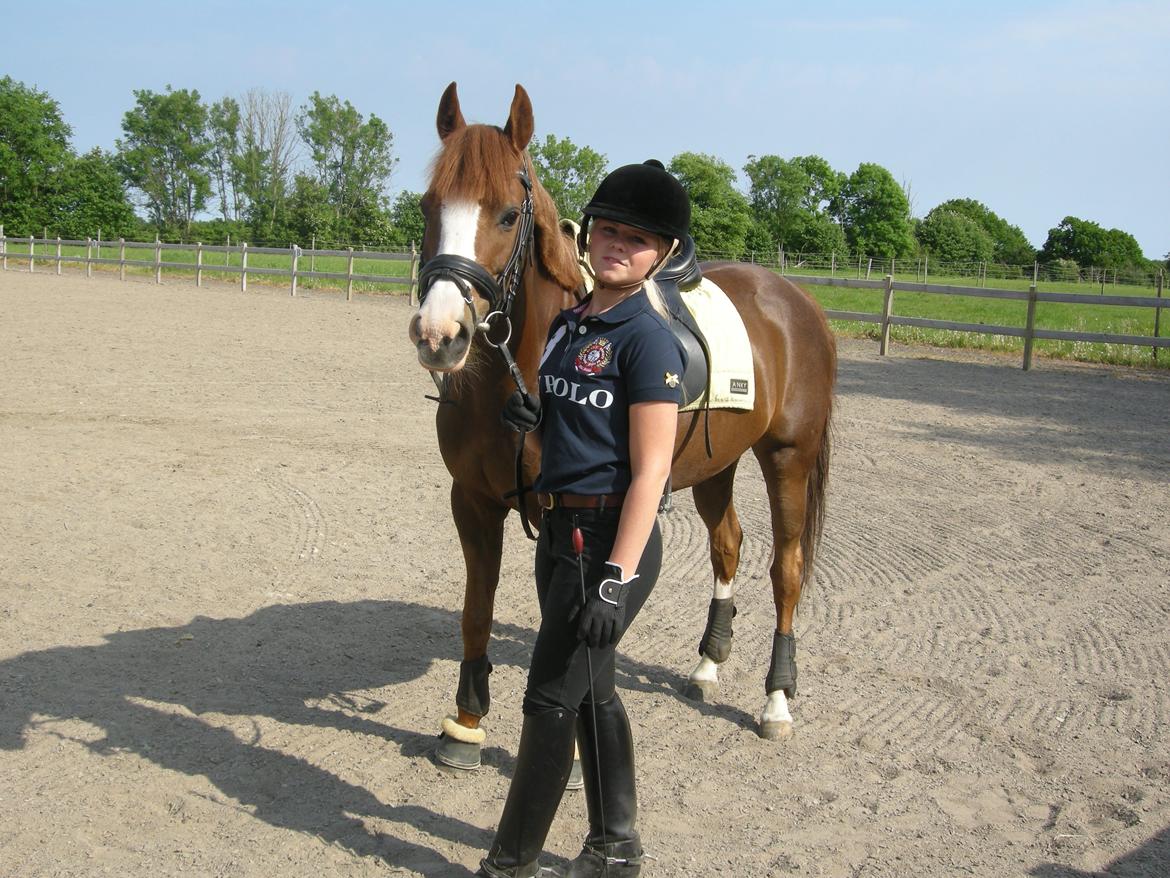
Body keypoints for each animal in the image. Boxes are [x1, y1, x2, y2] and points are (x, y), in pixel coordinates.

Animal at [407, 82, 836, 770]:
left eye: (507, 215)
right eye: (428, 206)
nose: (439, 334)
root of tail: (795, 300)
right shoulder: (473, 502)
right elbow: (476, 612)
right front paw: (465, 724)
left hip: (788, 458)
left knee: (787, 570)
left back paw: (776, 700)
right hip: (717, 464)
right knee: (728, 543)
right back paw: (707, 665)